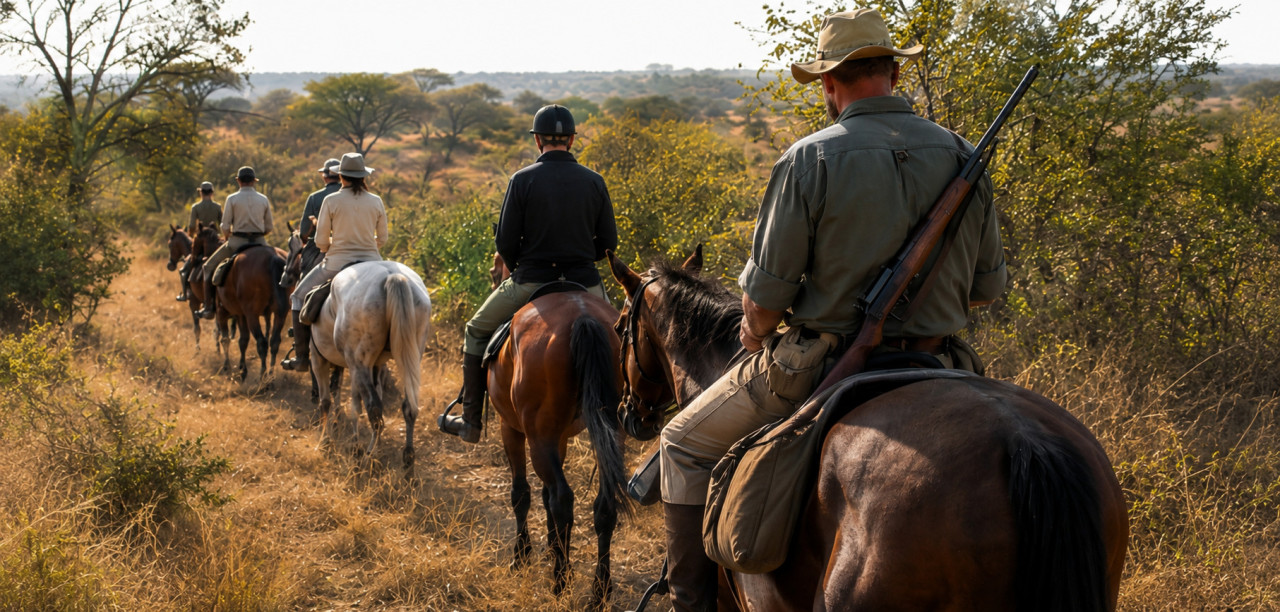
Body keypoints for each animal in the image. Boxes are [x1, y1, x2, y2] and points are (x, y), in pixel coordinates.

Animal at [309, 261, 431, 472]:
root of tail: (392, 276)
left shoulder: (319, 360)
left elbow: (326, 400)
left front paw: (326, 440)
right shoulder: (373, 366)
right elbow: (349, 398)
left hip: (357, 362)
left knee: (374, 409)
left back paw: (369, 457)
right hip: (410, 355)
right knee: (408, 407)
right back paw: (407, 461)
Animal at [484, 285, 632, 607]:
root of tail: (583, 317)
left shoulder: (511, 429)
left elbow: (521, 493)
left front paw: (521, 557)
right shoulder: (558, 437)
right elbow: (544, 493)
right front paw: (552, 547)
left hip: (536, 436)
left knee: (562, 499)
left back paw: (561, 582)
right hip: (608, 432)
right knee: (603, 505)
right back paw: (599, 591)